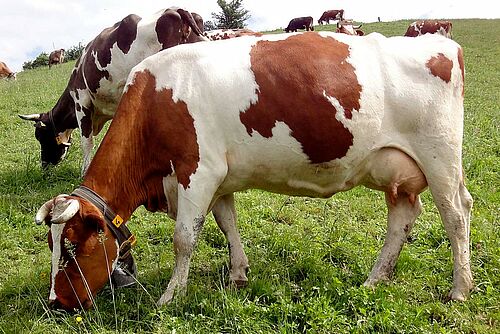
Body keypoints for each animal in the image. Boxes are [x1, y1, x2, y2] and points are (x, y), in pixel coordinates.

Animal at [18, 7, 204, 175]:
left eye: (40, 136)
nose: (44, 166)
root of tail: (176, 10)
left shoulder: (82, 101)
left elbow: (87, 141)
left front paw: (85, 172)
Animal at [36, 31, 472, 310]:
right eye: (51, 245)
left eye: (73, 247)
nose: (56, 302)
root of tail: (441, 43)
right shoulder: (219, 177)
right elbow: (227, 223)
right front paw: (238, 274)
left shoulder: (198, 171)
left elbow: (184, 239)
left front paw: (171, 295)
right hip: (397, 170)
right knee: (403, 216)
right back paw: (375, 278)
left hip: (441, 158)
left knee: (456, 214)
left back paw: (460, 288)